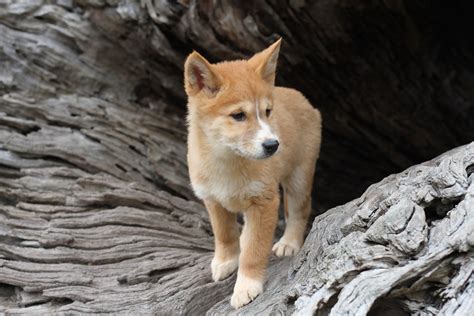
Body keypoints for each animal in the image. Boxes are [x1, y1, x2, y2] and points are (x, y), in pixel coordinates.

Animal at [183, 39, 320, 308]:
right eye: (238, 115)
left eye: (267, 112)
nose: (273, 145)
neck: (227, 163)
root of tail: (301, 98)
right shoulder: (212, 200)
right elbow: (225, 235)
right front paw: (226, 262)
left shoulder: (263, 201)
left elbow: (254, 252)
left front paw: (246, 286)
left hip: (298, 179)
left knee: (299, 211)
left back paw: (289, 243)